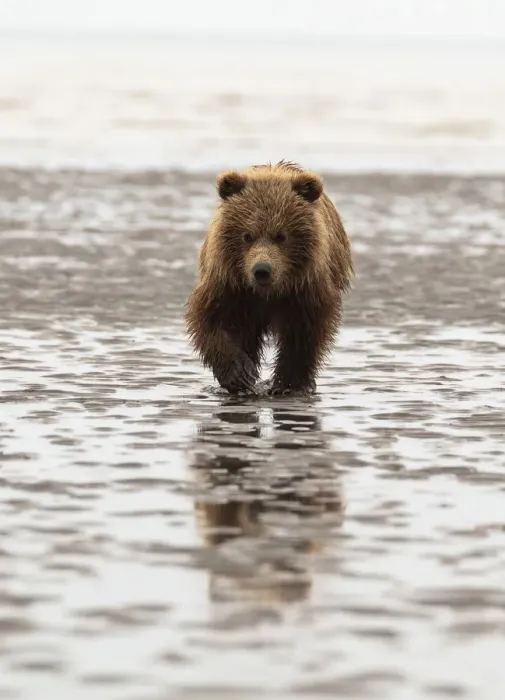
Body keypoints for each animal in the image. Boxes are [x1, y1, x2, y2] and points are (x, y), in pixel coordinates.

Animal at [185, 160, 353, 396]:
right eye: (247, 235)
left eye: (281, 236)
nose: (262, 270)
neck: (269, 293)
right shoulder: (231, 285)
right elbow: (213, 320)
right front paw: (239, 374)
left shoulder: (305, 290)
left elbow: (303, 334)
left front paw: (289, 384)